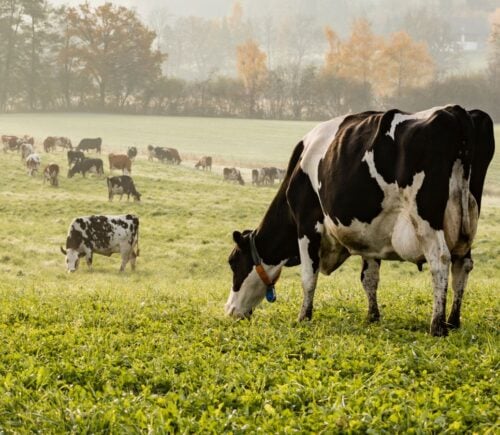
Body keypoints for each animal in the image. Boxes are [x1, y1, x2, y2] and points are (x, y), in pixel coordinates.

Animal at [228, 105, 496, 338]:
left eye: (233, 262)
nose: (229, 310)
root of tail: (455, 111)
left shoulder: (306, 224)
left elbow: (308, 277)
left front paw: (303, 317)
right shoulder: (370, 235)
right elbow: (369, 278)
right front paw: (372, 316)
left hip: (426, 219)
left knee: (440, 260)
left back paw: (437, 326)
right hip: (467, 222)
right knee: (462, 265)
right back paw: (453, 321)